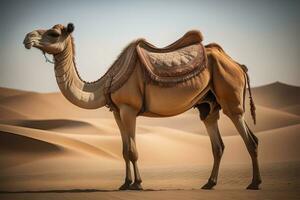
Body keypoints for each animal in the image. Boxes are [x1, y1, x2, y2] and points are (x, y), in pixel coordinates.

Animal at [23, 22, 262, 190]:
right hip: (208, 104)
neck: (104, 84)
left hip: (230, 98)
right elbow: (124, 150)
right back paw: (209, 183)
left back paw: (254, 183)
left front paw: (137, 184)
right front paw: (125, 183)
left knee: (250, 139)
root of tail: (239, 65)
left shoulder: (129, 109)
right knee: (217, 142)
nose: (27, 38)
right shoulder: (117, 112)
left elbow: (133, 150)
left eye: (53, 34)